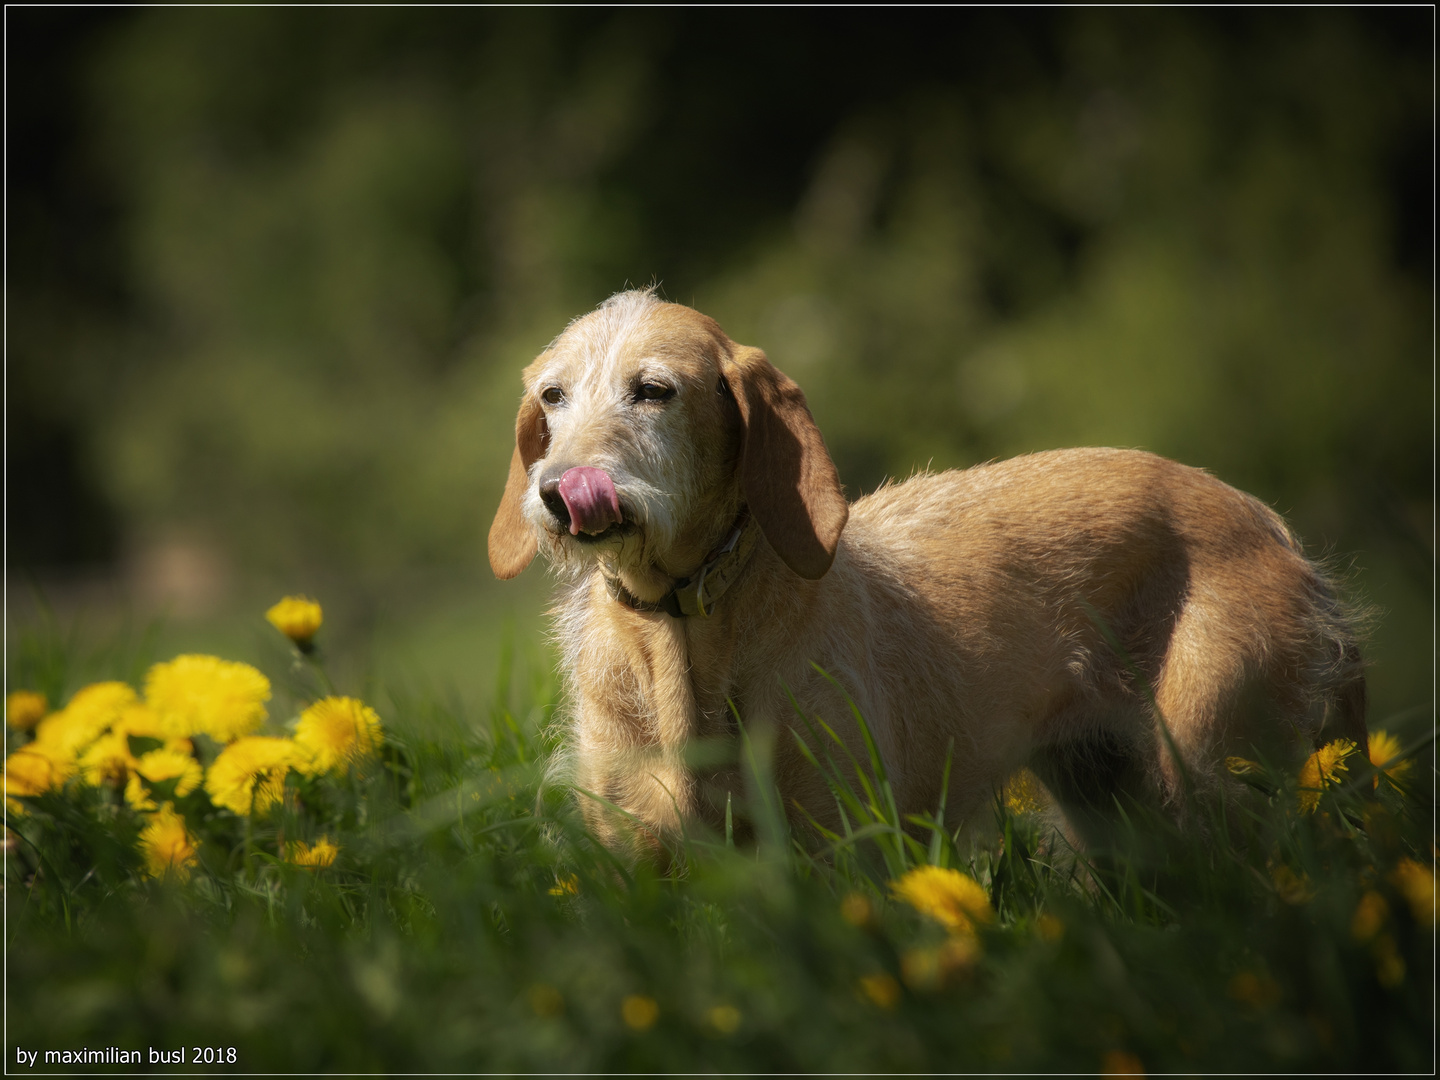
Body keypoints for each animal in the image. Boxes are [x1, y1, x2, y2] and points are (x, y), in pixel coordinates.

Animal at [489, 289, 1365, 864]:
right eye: (553, 396)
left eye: (654, 391)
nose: (557, 493)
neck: (681, 628)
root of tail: (1271, 524)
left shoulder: (845, 847)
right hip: (1110, 796)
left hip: (1216, 766)